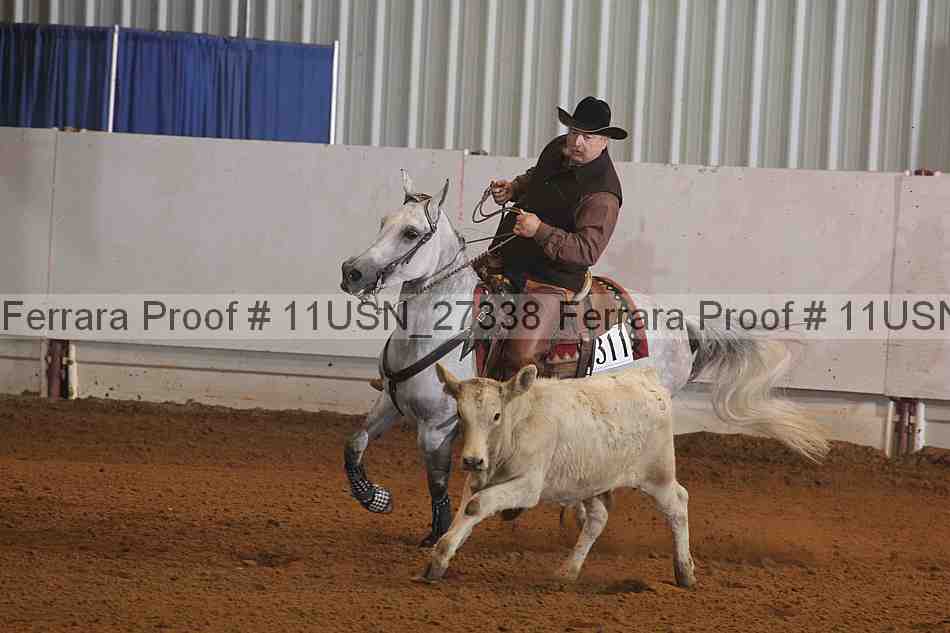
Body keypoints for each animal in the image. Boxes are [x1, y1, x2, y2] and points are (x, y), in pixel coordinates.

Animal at [339, 171, 828, 547]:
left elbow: (437, 481)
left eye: (411, 233)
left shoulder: (438, 425)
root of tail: (682, 326)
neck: (436, 327)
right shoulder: (390, 404)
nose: (352, 271)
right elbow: (354, 446)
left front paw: (435, 534)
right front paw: (375, 498)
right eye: (383, 221)